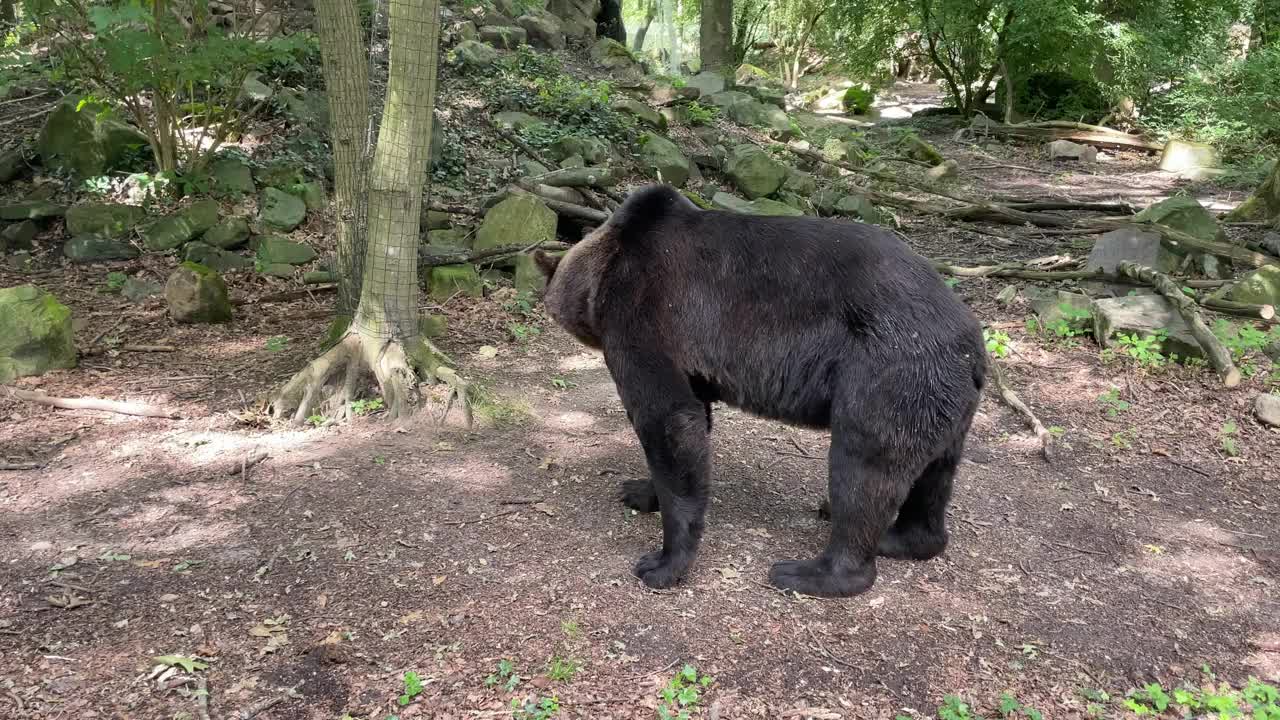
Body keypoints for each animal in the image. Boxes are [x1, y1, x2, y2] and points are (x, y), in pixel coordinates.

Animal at [535, 183, 983, 594]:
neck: (602, 275)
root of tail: (973, 342)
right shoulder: (691, 363)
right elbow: (693, 419)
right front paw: (638, 490)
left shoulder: (645, 315)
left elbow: (667, 418)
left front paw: (662, 562)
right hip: (939, 399)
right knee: (934, 474)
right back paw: (903, 537)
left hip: (889, 371)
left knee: (864, 467)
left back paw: (812, 571)